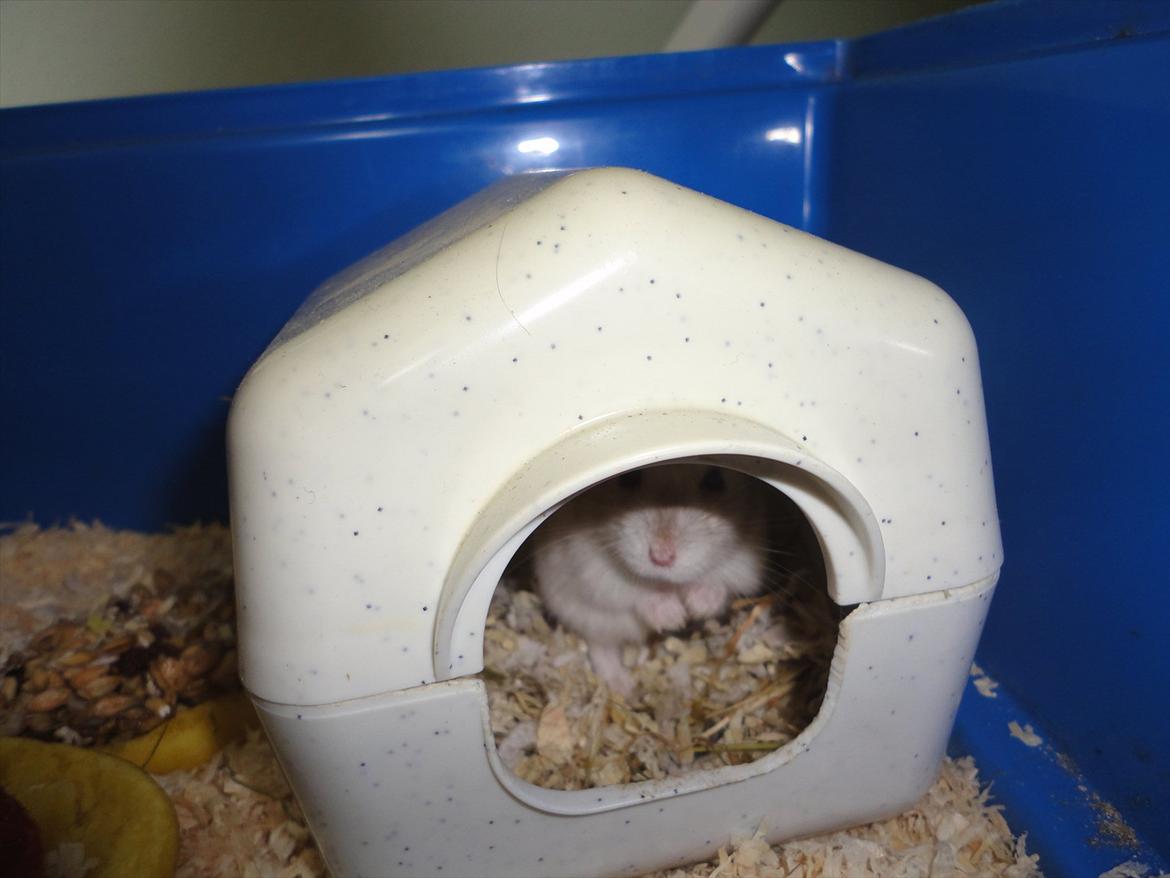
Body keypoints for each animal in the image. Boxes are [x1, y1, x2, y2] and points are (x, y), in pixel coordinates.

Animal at [530, 463, 769, 695]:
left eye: (715, 481)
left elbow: (720, 584)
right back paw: (623, 688)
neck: (668, 584)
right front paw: (675, 617)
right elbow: (637, 592)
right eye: (628, 478)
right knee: (601, 647)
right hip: (586, 617)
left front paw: (695, 609)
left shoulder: (746, 564)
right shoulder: (590, 568)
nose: (661, 558)